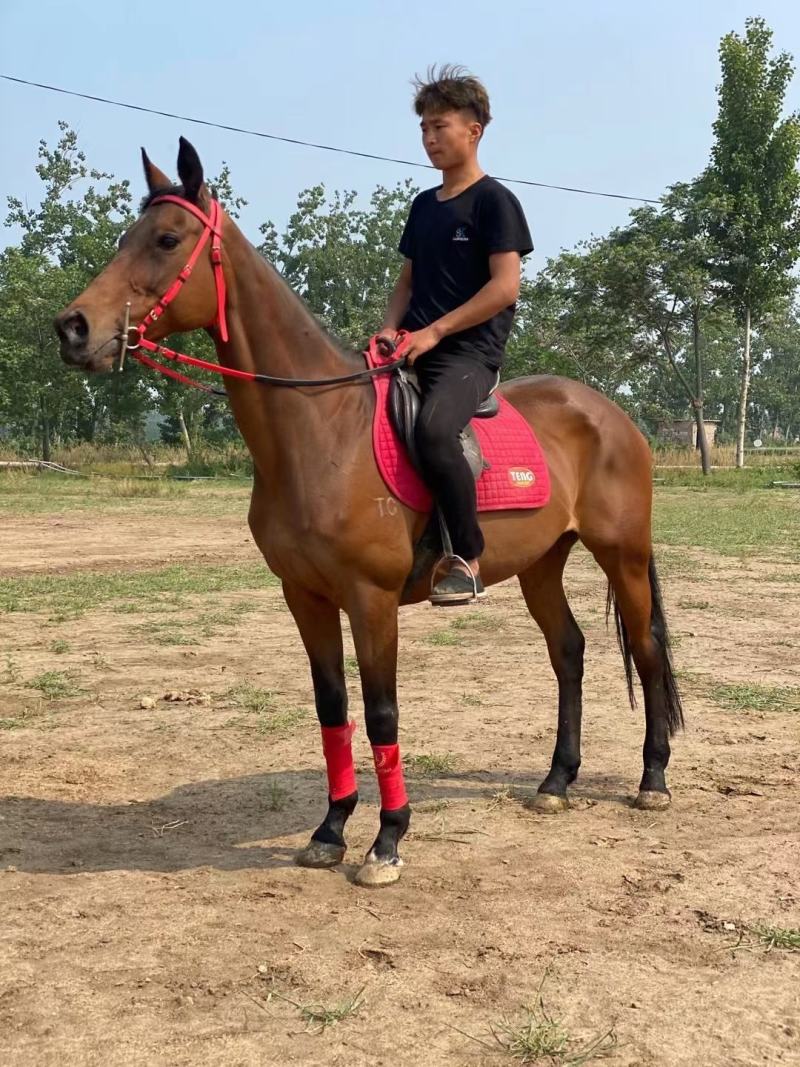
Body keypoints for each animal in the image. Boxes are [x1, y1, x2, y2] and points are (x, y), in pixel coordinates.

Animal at [54, 138, 683, 888]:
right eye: (128, 236)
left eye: (167, 239)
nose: (72, 328)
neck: (323, 429)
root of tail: (613, 414)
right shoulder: (305, 596)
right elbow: (333, 707)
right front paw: (330, 829)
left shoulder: (371, 598)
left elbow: (382, 712)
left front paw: (387, 840)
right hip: (541, 563)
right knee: (569, 652)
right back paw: (556, 781)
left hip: (624, 555)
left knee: (646, 650)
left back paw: (652, 780)